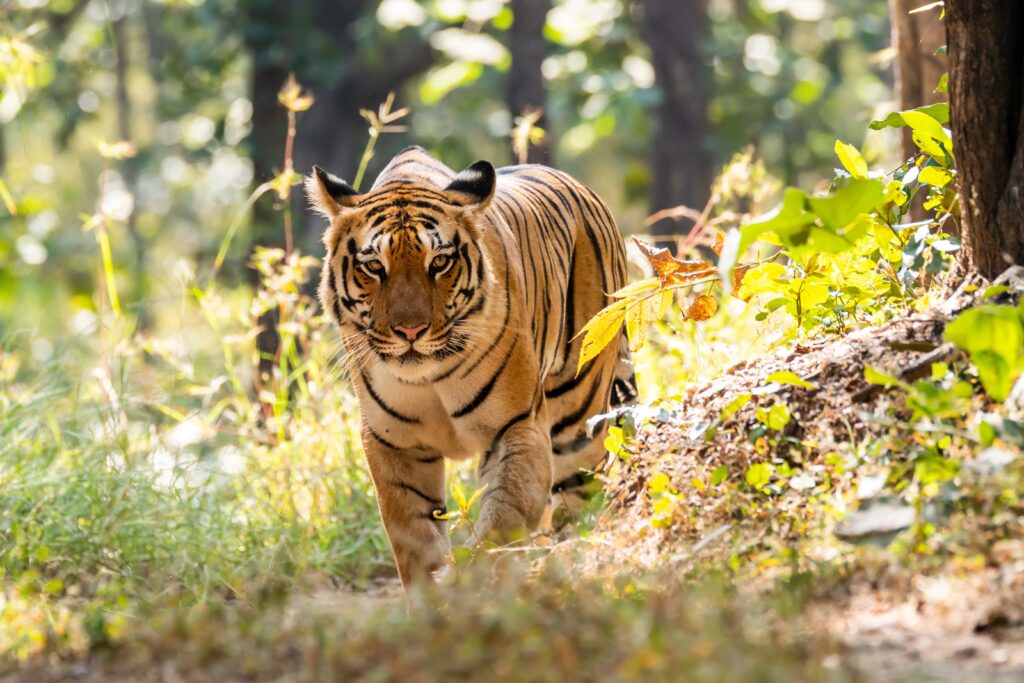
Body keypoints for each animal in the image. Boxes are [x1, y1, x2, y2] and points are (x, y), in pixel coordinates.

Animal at [307, 147, 634, 585]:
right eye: (374, 266)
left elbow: (503, 519)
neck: (427, 377)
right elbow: (414, 540)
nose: (410, 330)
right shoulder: (393, 443)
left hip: (579, 420)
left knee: (580, 503)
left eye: (440, 262)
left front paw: (475, 583)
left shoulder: (518, 426)